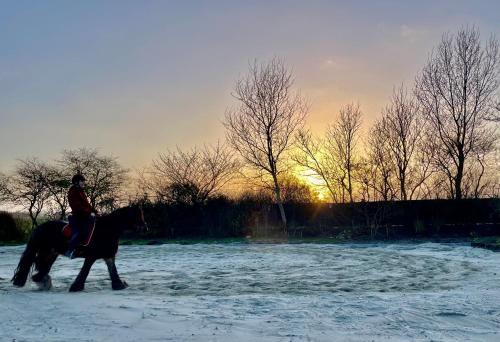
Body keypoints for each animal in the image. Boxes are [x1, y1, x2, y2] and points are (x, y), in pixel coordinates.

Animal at [11, 204, 146, 292]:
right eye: (136, 214)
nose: (145, 228)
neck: (106, 230)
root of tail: (39, 228)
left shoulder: (108, 255)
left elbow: (113, 270)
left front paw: (118, 285)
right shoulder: (92, 256)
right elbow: (85, 271)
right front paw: (76, 287)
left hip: (51, 253)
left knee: (42, 265)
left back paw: (41, 281)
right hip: (46, 251)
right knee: (36, 263)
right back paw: (37, 281)